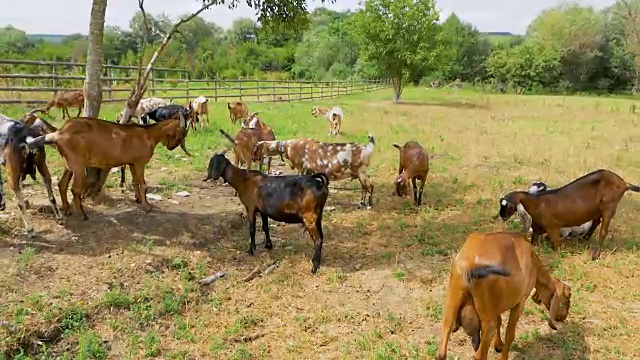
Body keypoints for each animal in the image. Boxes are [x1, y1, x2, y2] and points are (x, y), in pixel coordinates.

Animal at [28, 115, 188, 219]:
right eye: (181, 135)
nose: (172, 147)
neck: (148, 134)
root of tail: (59, 133)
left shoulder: (132, 163)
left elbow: (136, 182)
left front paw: (137, 199)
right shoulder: (140, 162)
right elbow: (143, 184)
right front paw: (147, 206)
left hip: (69, 164)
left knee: (62, 184)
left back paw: (67, 210)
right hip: (78, 166)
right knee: (74, 189)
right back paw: (83, 214)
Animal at [438, 232, 572, 358]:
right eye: (568, 297)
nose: (563, 317)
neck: (533, 261)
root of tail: (470, 265)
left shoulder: (496, 305)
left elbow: (500, 321)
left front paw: (498, 345)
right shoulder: (520, 302)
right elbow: (510, 335)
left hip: (451, 304)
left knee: (441, 352)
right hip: (487, 320)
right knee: (480, 355)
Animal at [500, 170, 640, 260]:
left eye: (509, 206)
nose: (502, 216)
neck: (537, 203)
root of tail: (624, 183)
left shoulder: (553, 228)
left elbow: (556, 247)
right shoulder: (536, 229)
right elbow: (533, 242)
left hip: (609, 207)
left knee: (603, 231)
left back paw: (595, 255)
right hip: (598, 209)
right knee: (596, 222)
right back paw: (584, 239)